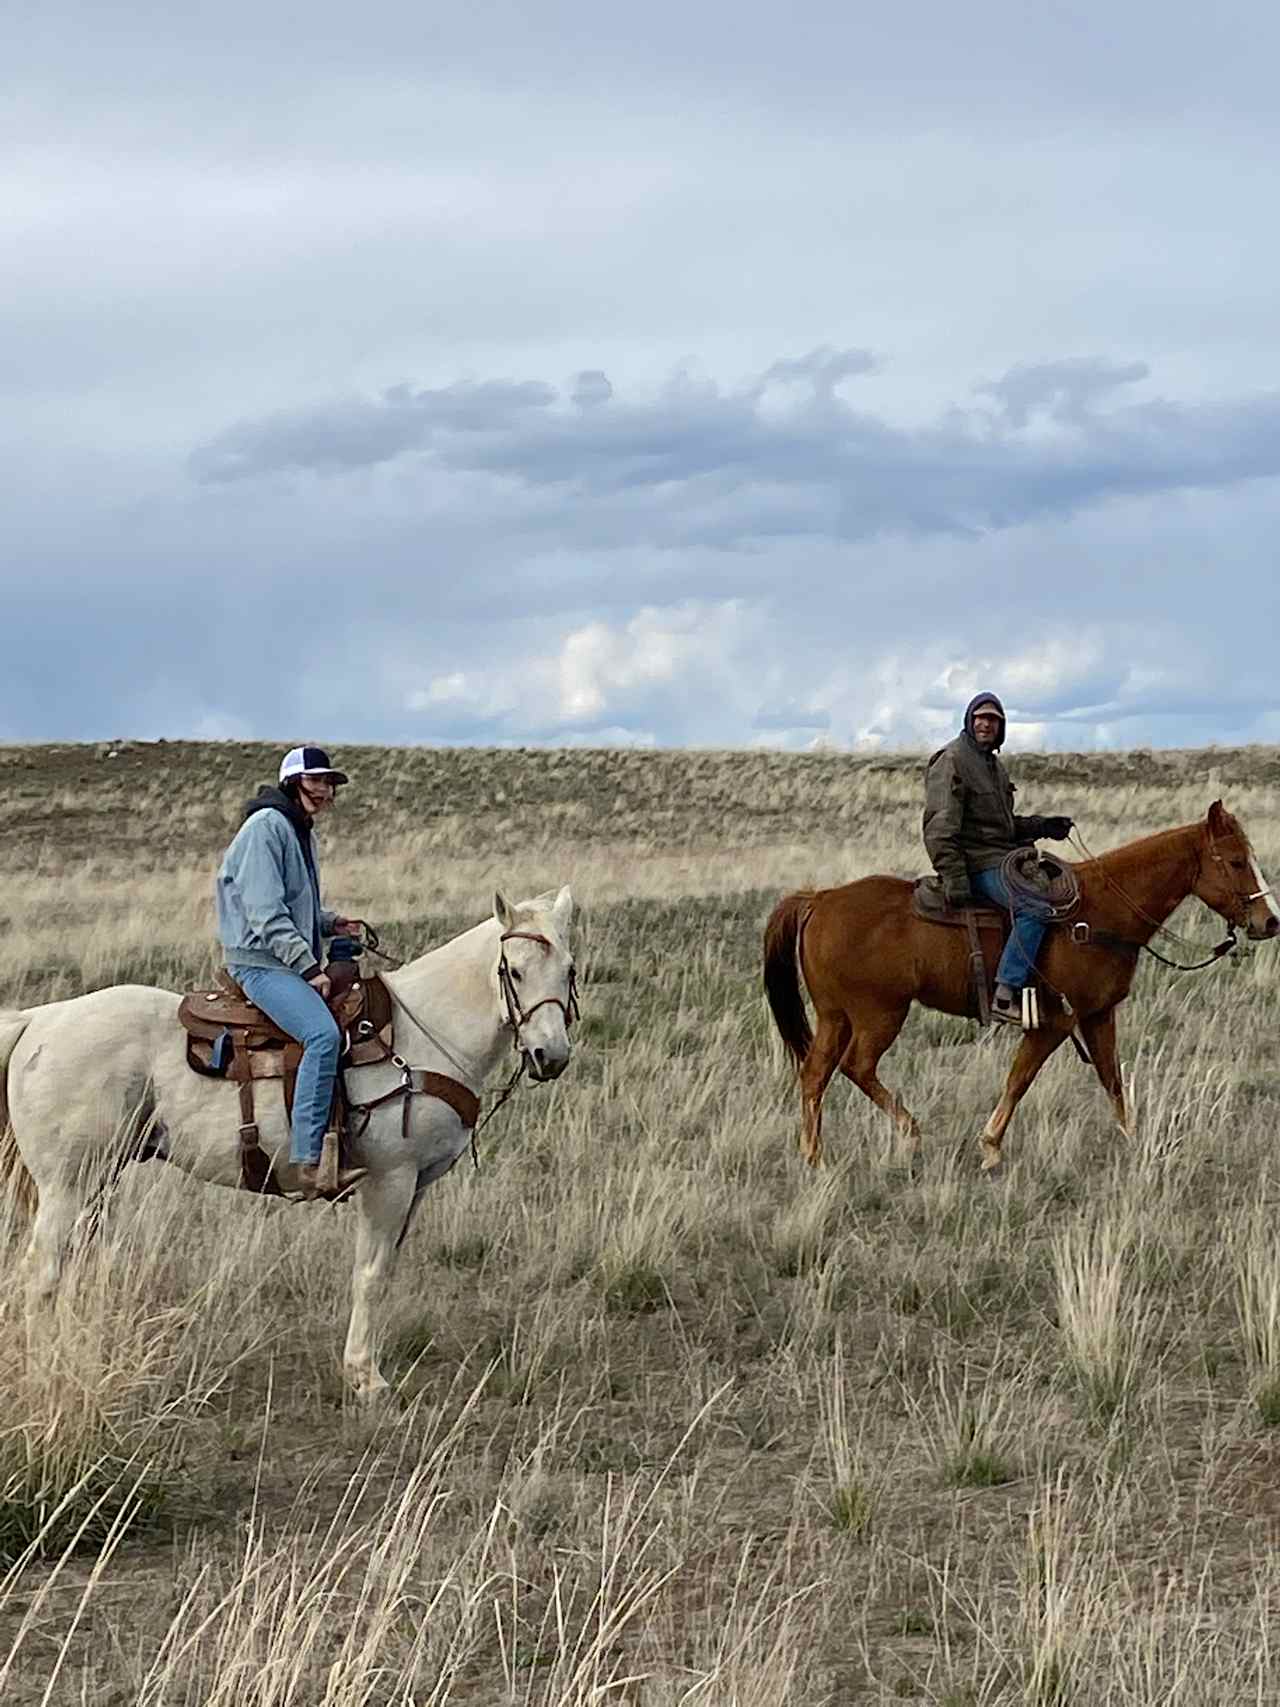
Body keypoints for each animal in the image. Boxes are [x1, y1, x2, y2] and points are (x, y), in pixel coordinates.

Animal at [0, 887, 576, 1392]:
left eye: (569, 969)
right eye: (514, 971)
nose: (551, 1056)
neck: (421, 1035)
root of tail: (40, 1020)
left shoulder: (418, 1185)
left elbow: (385, 1271)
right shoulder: (389, 1180)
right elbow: (370, 1275)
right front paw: (364, 1377)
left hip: (96, 1182)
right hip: (67, 1185)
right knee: (41, 1272)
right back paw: (50, 1366)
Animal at [768, 798, 1276, 1174]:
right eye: (1235, 861)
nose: (1269, 921)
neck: (1099, 912)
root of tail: (819, 899)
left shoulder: (1098, 1014)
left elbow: (1111, 1079)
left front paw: (1132, 1142)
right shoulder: (1055, 1023)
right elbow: (1020, 1079)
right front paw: (990, 1147)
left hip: (835, 1017)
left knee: (815, 1074)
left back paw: (814, 1155)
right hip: (880, 1015)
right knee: (857, 1067)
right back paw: (909, 1134)